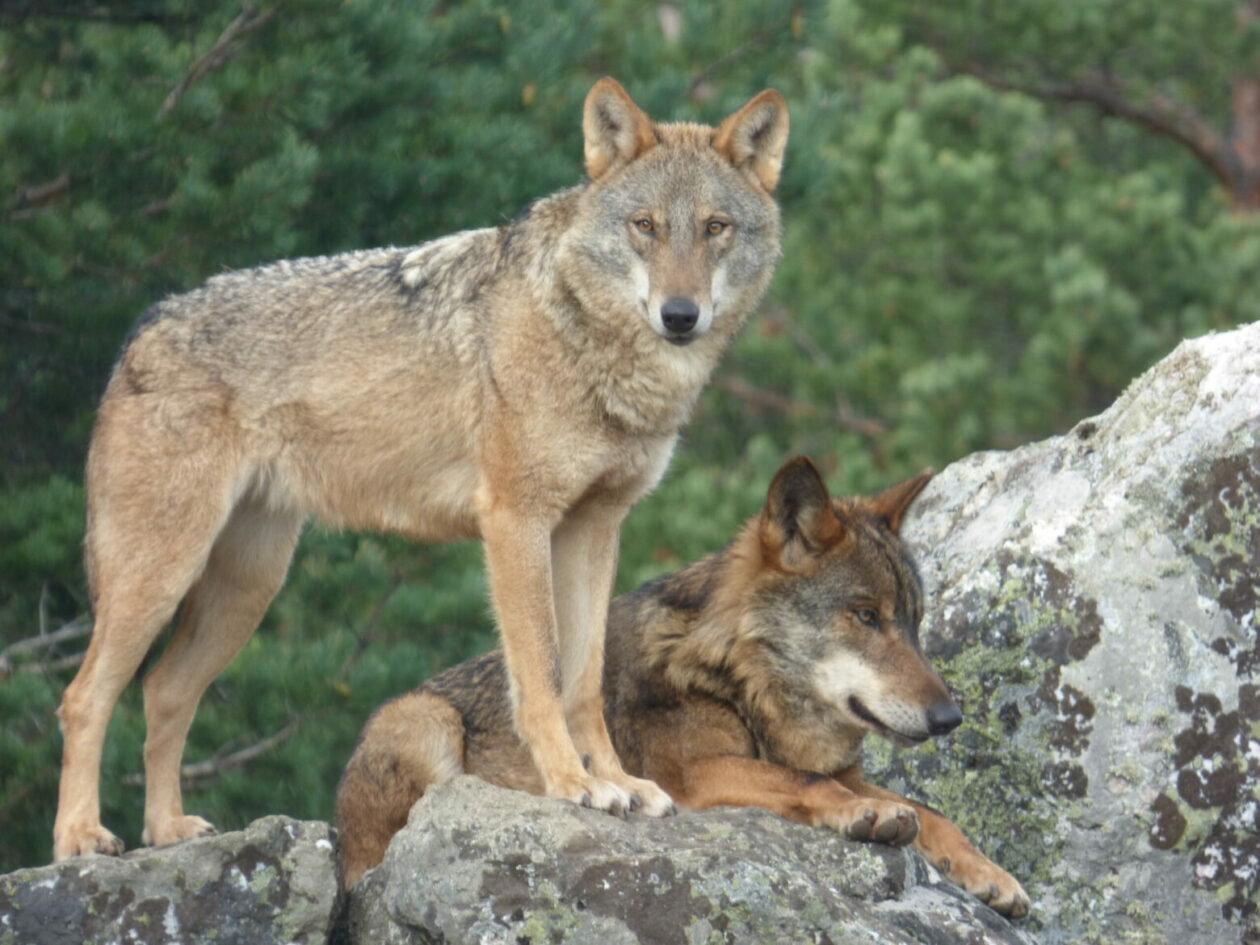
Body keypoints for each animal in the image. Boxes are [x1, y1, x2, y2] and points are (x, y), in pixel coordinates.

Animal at [53, 78, 790, 860]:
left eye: (715, 227)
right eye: (645, 226)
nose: (680, 315)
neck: (590, 343)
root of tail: (144, 324)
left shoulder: (595, 528)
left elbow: (585, 680)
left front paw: (621, 782)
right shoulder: (515, 521)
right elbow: (541, 673)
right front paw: (574, 784)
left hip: (245, 589)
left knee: (162, 691)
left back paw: (166, 830)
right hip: (160, 576)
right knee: (83, 698)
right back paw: (80, 837)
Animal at [334, 457, 1031, 918]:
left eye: (914, 621)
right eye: (865, 616)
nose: (950, 718)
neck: (743, 682)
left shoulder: (839, 766)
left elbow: (934, 814)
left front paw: (992, 876)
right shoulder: (696, 775)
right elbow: (811, 782)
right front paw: (872, 815)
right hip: (423, 718)